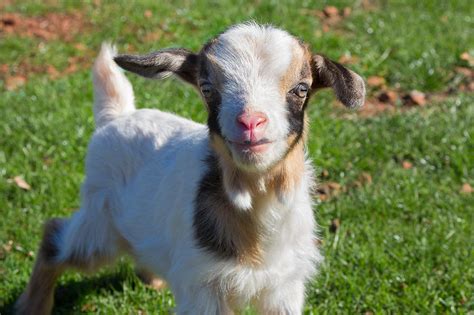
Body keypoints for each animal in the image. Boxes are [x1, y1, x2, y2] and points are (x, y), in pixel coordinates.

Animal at [16, 22, 364, 315]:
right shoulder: (203, 286)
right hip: (99, 222)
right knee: (55, 238)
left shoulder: (285, 285)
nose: (250, 122)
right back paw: (31, 307)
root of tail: (117, 116)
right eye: (207, 88)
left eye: (301, 89)